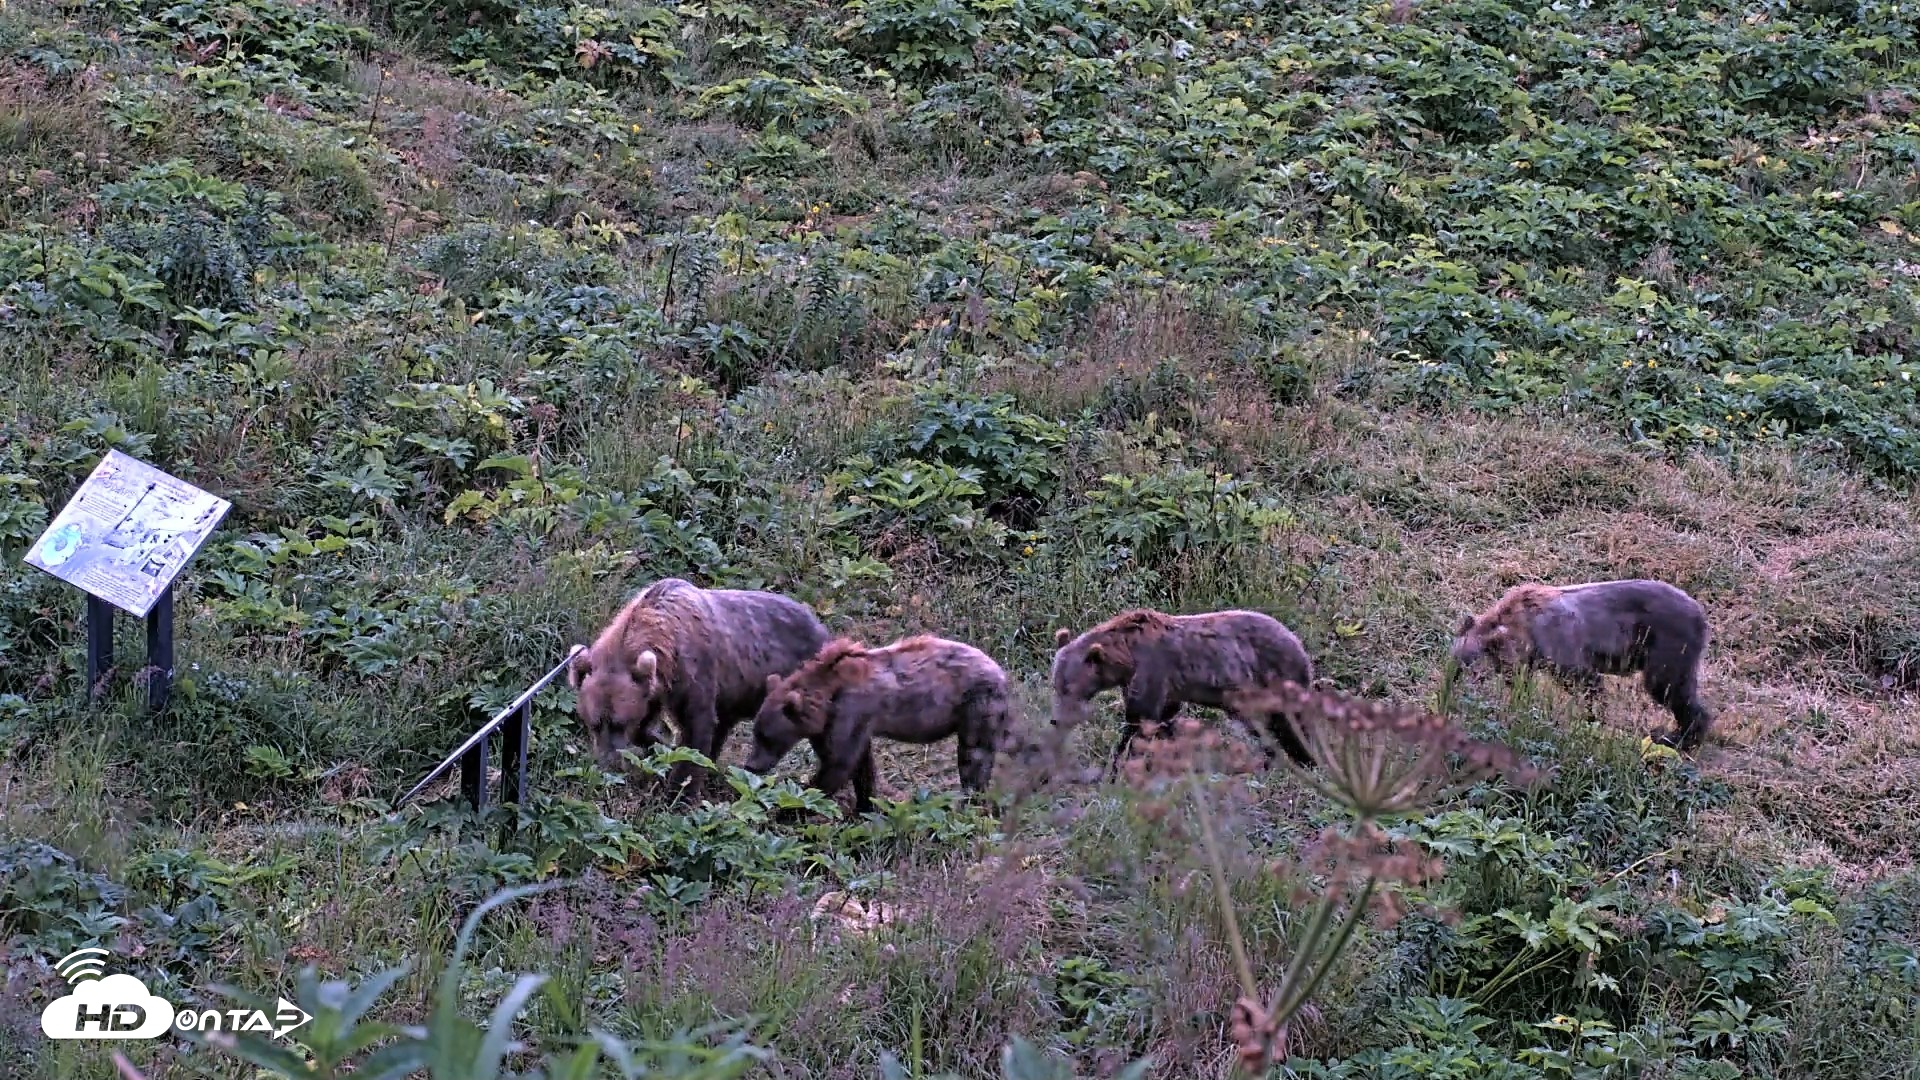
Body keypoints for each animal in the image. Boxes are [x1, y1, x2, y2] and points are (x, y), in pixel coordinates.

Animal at [570, 577, 830, 801]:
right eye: (594, 724)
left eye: (619, 723)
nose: (608, 764)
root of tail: (821, 626)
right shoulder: (655, 688)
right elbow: (648, 723)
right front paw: (659, 742)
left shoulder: (694, 670)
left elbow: (697, 729)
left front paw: (680, 792)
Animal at [742, 634, 1012, 816]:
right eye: (756, 732)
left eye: (766, 737)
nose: (751, 765)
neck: (827, 695)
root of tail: (1001, 671)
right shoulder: (839, 724)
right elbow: (860, 764)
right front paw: (865, 805)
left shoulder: (851, 710)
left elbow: (838, 762)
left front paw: (792, 807)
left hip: (977, 705)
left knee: (974, 757)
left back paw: (971, 805)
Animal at [1050, 608, 1317, 772]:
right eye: (1056, 685)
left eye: (1069, 687)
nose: (1055, 720)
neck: (1127, 657)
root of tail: (1297, 641)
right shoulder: (1149, 685)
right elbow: (1160, 718)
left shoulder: (1153, 669)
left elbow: (1141, 721)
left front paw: (1121, 764)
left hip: (1275, 676)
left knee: (1288, 722)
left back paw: (1304, 758)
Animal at [1449, 578, 1715, 751]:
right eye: (1453, 661)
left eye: (1469, 664)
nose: (1451, 683)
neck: (1524, 631)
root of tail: (1700, 611)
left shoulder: (1559, 641)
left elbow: (1586, 681)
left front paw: (1591, 718)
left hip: (1666, 640)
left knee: (1669, 687)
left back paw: (1678, 737)